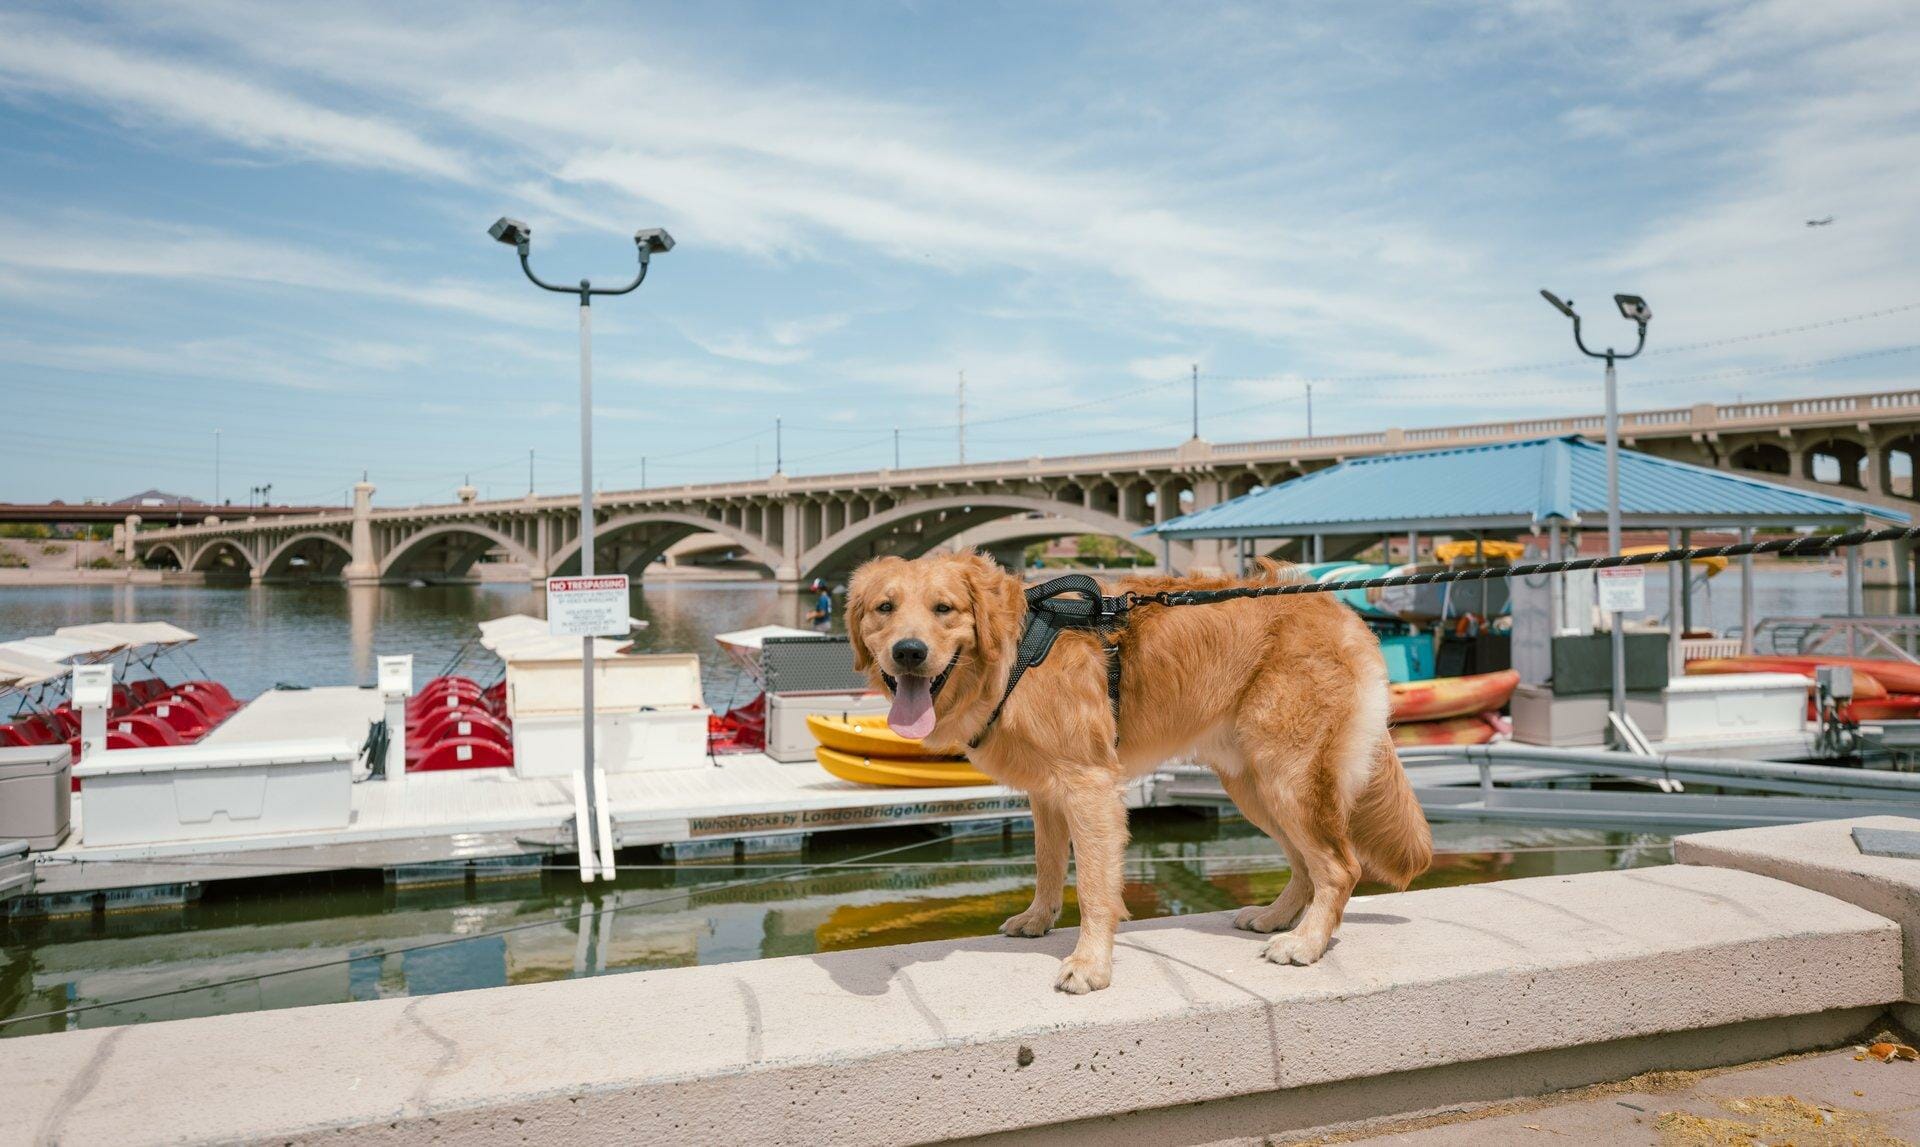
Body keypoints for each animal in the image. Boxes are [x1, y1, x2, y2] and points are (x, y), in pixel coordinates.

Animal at [848, 549, 1436, 991]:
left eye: (944, 608)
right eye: (884, 608)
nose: (908, 652)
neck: (1014, 657)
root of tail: (1334, 608)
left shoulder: (1089, 785)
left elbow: (1093, 887)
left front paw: (1090, 965)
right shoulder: (1047, 792)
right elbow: (1046, 864)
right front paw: (1038, 920)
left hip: (1286, 774)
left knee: (1338, 866)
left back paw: (1306, 943)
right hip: (1253, 784)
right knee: (1305, 863)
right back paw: (1275, 918)